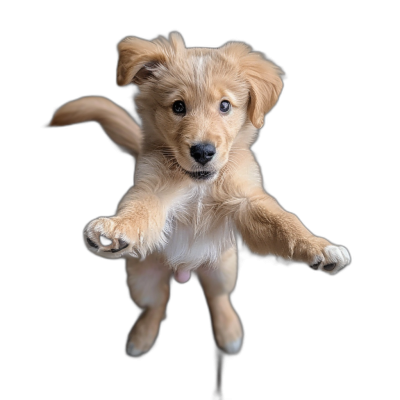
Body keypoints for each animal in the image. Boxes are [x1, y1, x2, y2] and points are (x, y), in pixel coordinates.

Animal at [50, 31, 350, 356]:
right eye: (178, 107)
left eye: (225, 106)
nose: (203, 152)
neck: (200, 185)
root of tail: (184, 269)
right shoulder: (154, 191)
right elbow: (140, 210)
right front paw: (116, 230)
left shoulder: (247, 200)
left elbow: (283, 222)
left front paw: (319, 247)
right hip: (143, 277)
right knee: (157, 303)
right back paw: (142, 337)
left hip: (223, 268)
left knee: (217, 297)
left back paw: (229, 331)